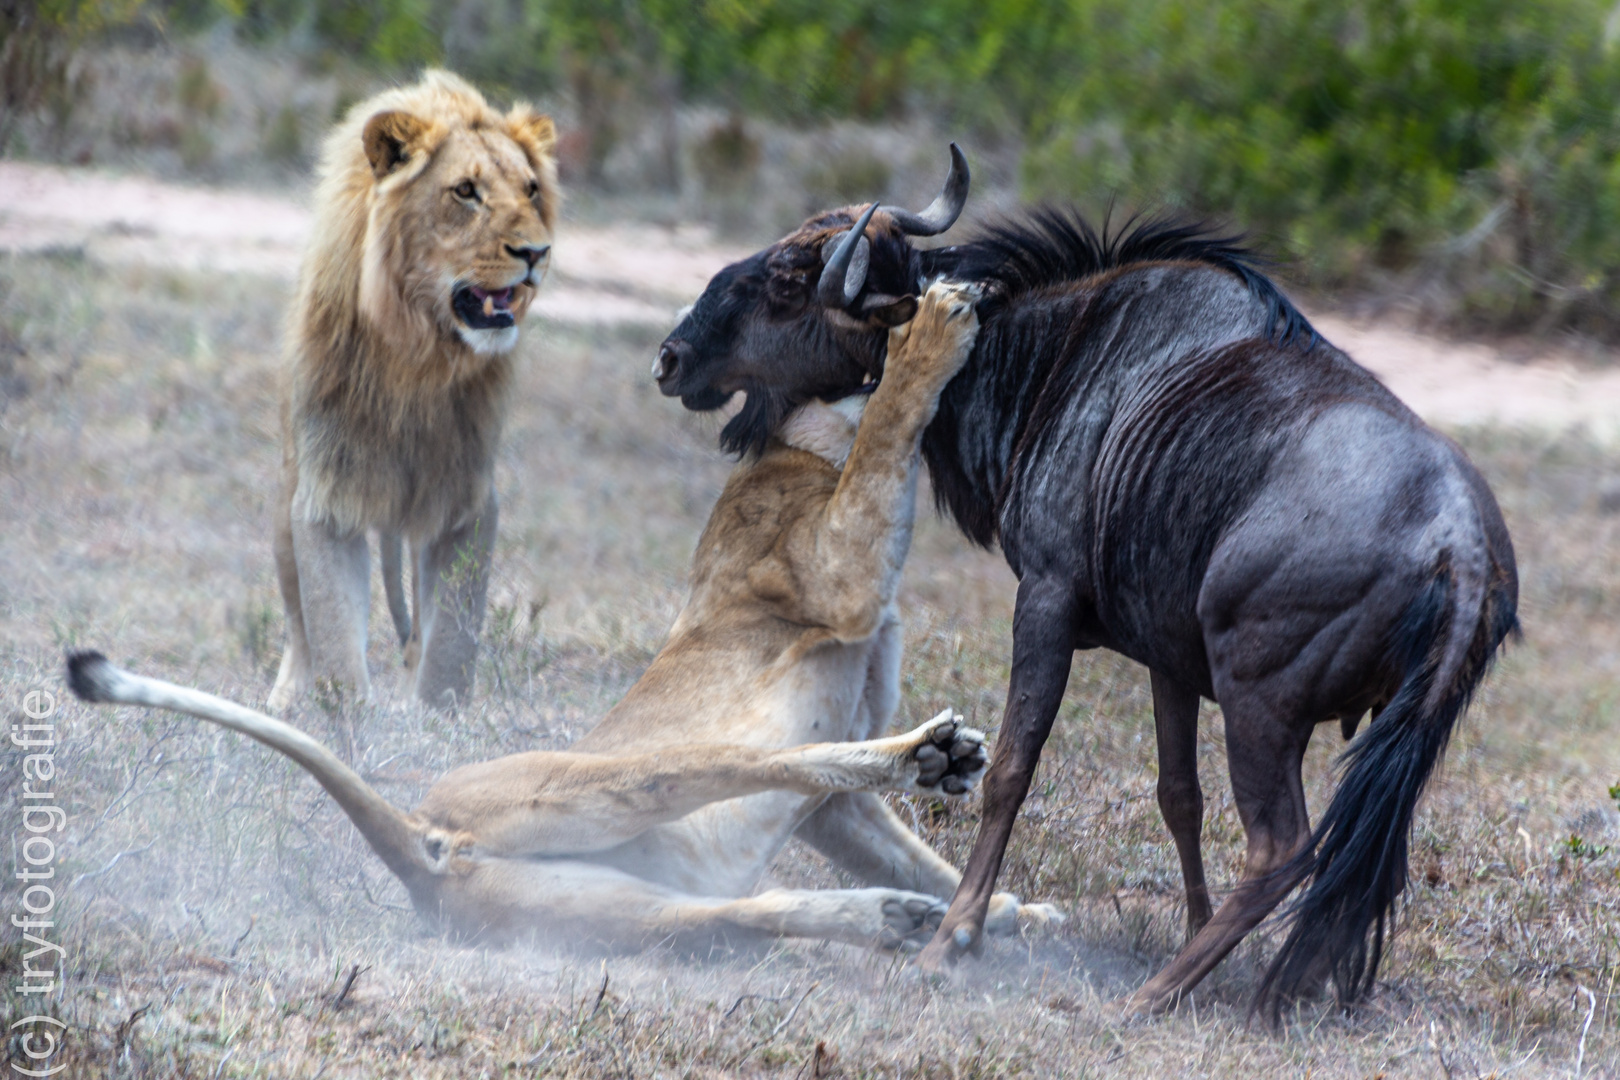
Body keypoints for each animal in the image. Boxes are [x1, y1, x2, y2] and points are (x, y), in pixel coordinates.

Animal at [72, 283, 1062, 952]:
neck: (803, 443)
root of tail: (420, 836)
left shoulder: (834, 817)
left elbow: (906, 851)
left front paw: (1013, 916)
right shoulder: (836, 570)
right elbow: (888, 440)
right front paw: (932, 337)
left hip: (616, 910)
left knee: (744, 909)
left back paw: (896, 912)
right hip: (615, 778)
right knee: (771, 765)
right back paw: (926, 759)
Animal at [268, 71, 560, 712]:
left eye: (531, 190)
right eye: (466, 192)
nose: (536, 253)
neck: (418, 354)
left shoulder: (467, 497)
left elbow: (451, 638)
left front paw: (433, 719)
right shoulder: (326, 489)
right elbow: (332, 629)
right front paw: (344, 718)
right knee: (297, 619)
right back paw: (286, 696)